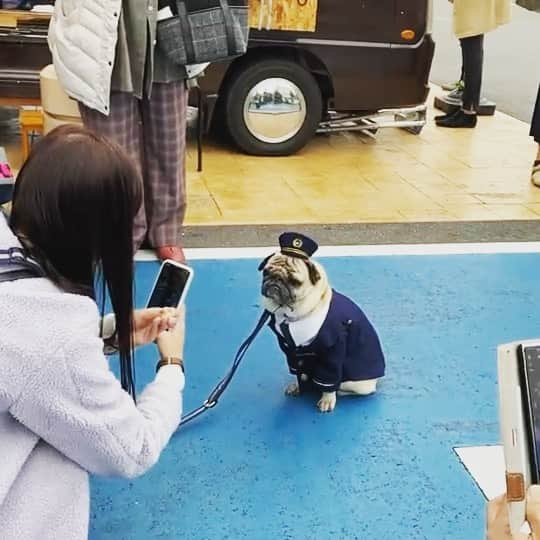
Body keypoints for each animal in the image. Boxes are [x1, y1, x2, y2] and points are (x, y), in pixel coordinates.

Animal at [260, 232, 384, 414]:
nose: (275, 280)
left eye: (294, 281)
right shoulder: (291, 351)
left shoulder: (333, 349)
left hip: (359, 385)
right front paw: (298, 386)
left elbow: (329, 379)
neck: (289, 314)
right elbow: (298, 371)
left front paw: (327, 399)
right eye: (266, 273)